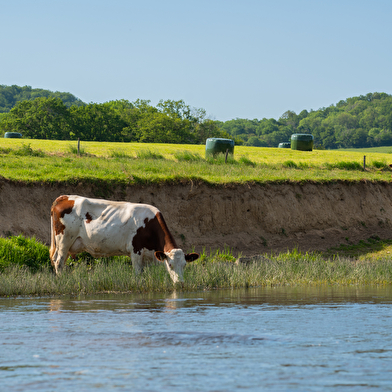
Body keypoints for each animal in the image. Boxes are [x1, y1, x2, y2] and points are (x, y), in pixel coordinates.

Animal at [49, 195, 199, 282]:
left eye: (185, 265)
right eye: (170, 265)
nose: (180, 282)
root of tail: (65, 197)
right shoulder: (136, 251)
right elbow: (138, 274)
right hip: (64, 240)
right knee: (59, 262)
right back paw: (62, 280)